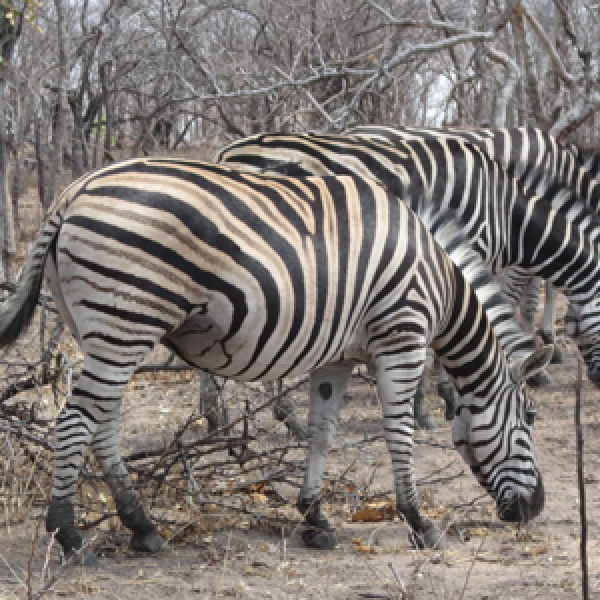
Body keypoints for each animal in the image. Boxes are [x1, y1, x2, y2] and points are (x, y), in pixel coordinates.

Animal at [0, 157, 552, 560]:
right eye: (528, 419)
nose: (535, 509)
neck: (439, 282)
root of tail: (73, 193)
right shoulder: (402, 336)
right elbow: (399, 434)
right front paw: (420, 523)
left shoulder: (337, 356)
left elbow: (322, 433)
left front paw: (314, 518)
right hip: (123, 322)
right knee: (74, 424)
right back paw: (69, 536)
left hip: (104, 330)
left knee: (104, 425)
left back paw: (142, 527)